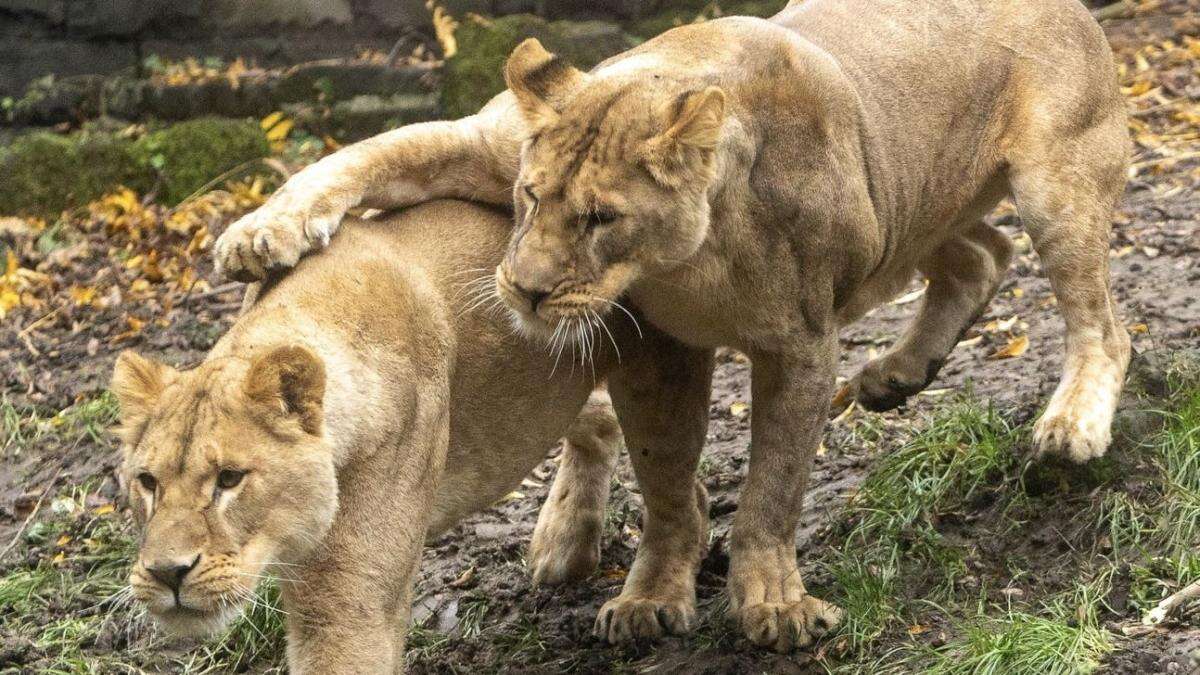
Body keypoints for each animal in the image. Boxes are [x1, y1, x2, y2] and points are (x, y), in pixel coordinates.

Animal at [110, 200, 710, 672]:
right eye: (147, 482)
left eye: (230, 479)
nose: (167, 573)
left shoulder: (348, 601)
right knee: (599, 417)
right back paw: (564, 545)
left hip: (655, 363)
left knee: (679, 485)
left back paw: (648, 598)